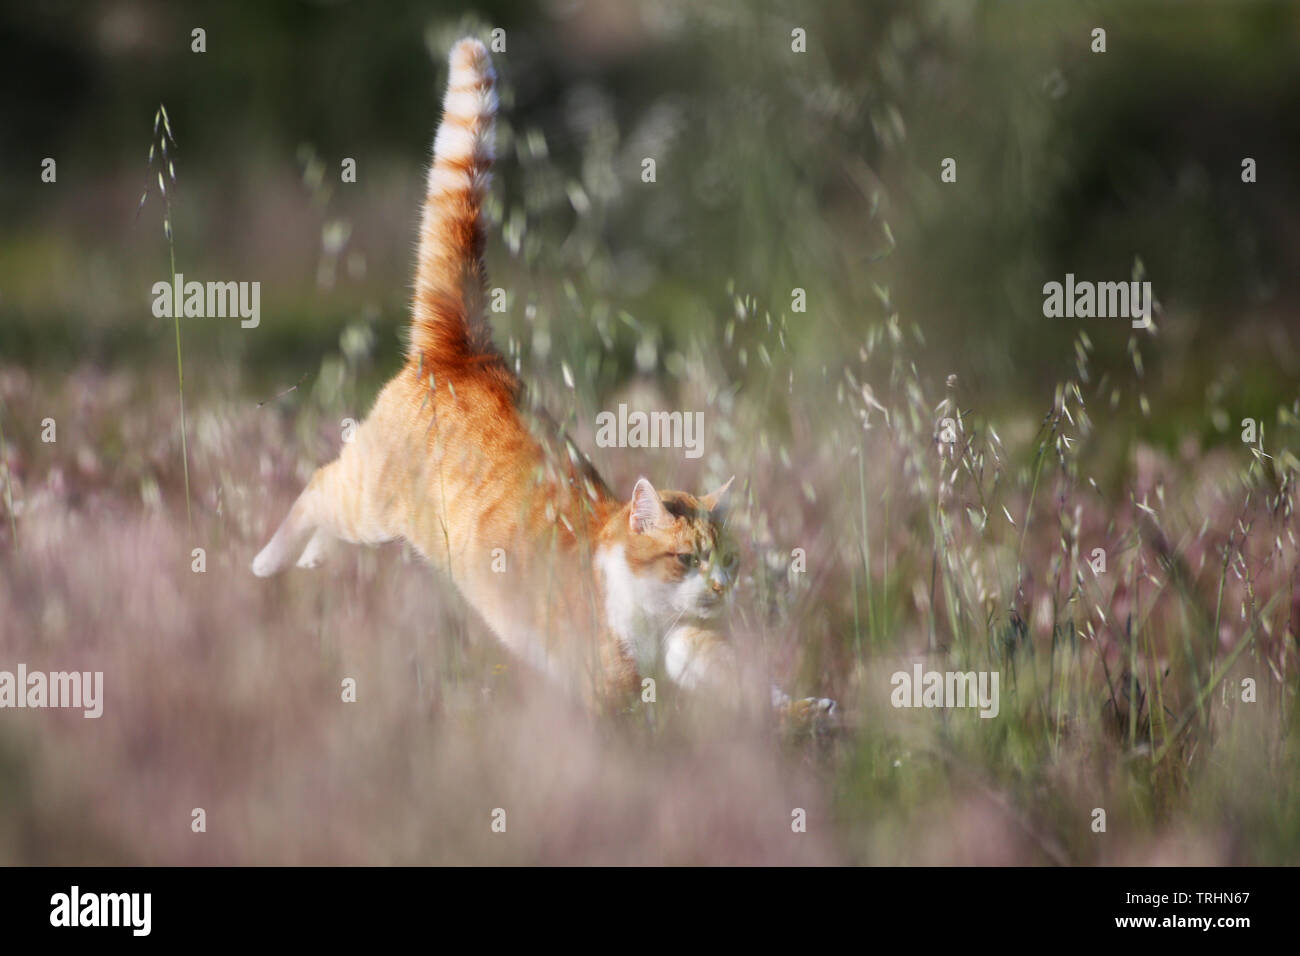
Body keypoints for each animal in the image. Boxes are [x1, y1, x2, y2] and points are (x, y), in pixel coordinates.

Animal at [253, 39, 832, 723]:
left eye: (730, 560)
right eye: (688, 558)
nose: (719, 586)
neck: (647, 607)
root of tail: (463, 351)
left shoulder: (691, 644)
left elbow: (740, 680)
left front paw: (802, 709)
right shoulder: (607, 675)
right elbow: (627, 711)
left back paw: (313, 557)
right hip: (369, 499)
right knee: (317, 486)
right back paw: (269, 561)